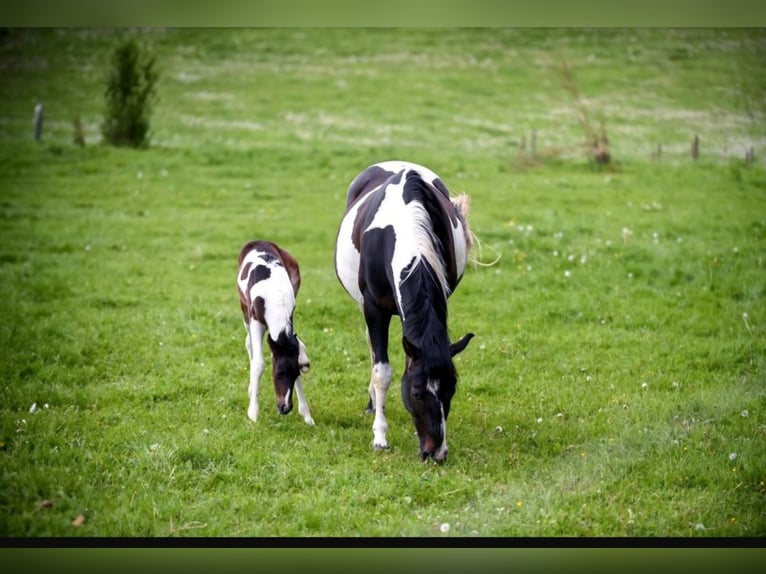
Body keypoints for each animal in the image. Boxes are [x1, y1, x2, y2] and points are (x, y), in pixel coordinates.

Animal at [237, 241, 316, 426]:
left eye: (295, 374)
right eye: (279, 373)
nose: (285, 408)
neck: (275, 296)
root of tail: (258, 241)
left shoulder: (291, 315)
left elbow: (295, 350)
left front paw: (306, 415)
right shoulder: (256, 321)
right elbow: (258, 363)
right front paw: (253, 413)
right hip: (244, 307)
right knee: (248, 343)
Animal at [336, 162, 474, 464]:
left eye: (451, 390)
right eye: (417, 393)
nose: (436, 453)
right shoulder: (373, 309)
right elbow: (382, 371)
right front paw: (379, 437)